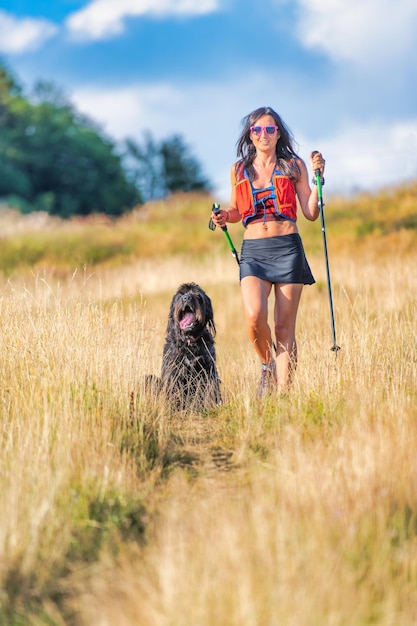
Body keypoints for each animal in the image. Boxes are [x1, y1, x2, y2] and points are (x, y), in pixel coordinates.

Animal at [159, 282, 221, 410]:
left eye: (198, 295)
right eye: (180, 294)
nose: (186, 298)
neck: (189, 342)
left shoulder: (208, 371)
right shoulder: (173, 371)